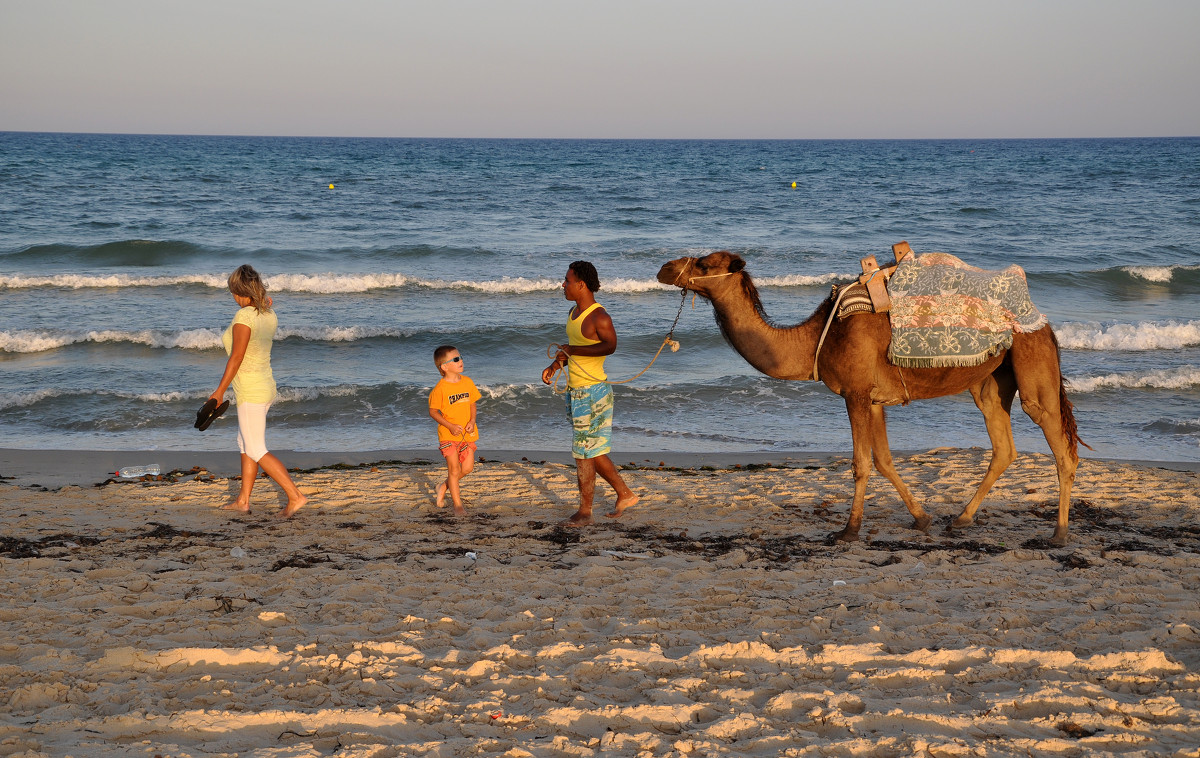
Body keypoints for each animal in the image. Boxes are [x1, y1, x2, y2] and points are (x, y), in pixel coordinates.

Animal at [657, 251, 1089, 546]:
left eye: (704, 264)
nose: (664, 268)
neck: (817, 340)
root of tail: (1043, 321)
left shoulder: (856, 393)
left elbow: (861, 463)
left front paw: (848, 530)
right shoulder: (876, 399)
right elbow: (883, 460)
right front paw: (922, 519)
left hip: (1031, 361)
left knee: (1059, 444)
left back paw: (1059, 534)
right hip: (989, 381)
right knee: (1004, 447)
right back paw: (961, 520)